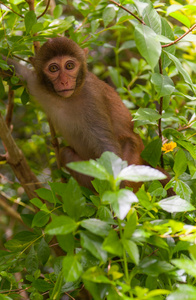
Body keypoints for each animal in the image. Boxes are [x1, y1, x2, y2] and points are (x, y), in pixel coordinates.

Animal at [0, 37, 171, 192]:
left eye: (69, 66)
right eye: (53, 68)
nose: (64, 81)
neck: (67, 98)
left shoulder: (92, 99)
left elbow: (106, 147)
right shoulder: (35, 83)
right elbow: (13, 69)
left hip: (133, 159)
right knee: (66, 154)